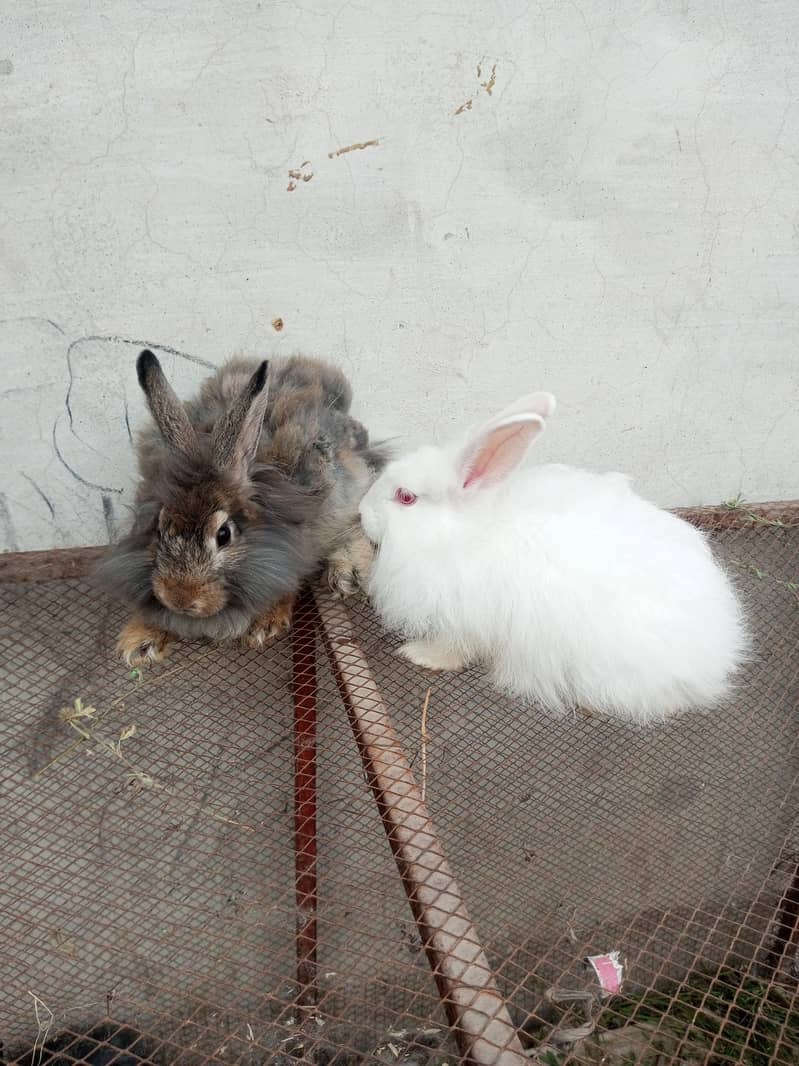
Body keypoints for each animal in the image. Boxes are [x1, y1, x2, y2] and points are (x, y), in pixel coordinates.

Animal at [97, 349, 384, 667]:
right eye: (160, 530)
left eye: (224, 535)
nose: (179, 599)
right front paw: (138, 640)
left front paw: (265, 623)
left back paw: (346, 574)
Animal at [358, 392, 748, 724]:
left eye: (406, 497)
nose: (362, 513)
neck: (458, 533)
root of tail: (719, 653)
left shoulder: (464, 619)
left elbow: (452, 649)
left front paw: (416, 654)